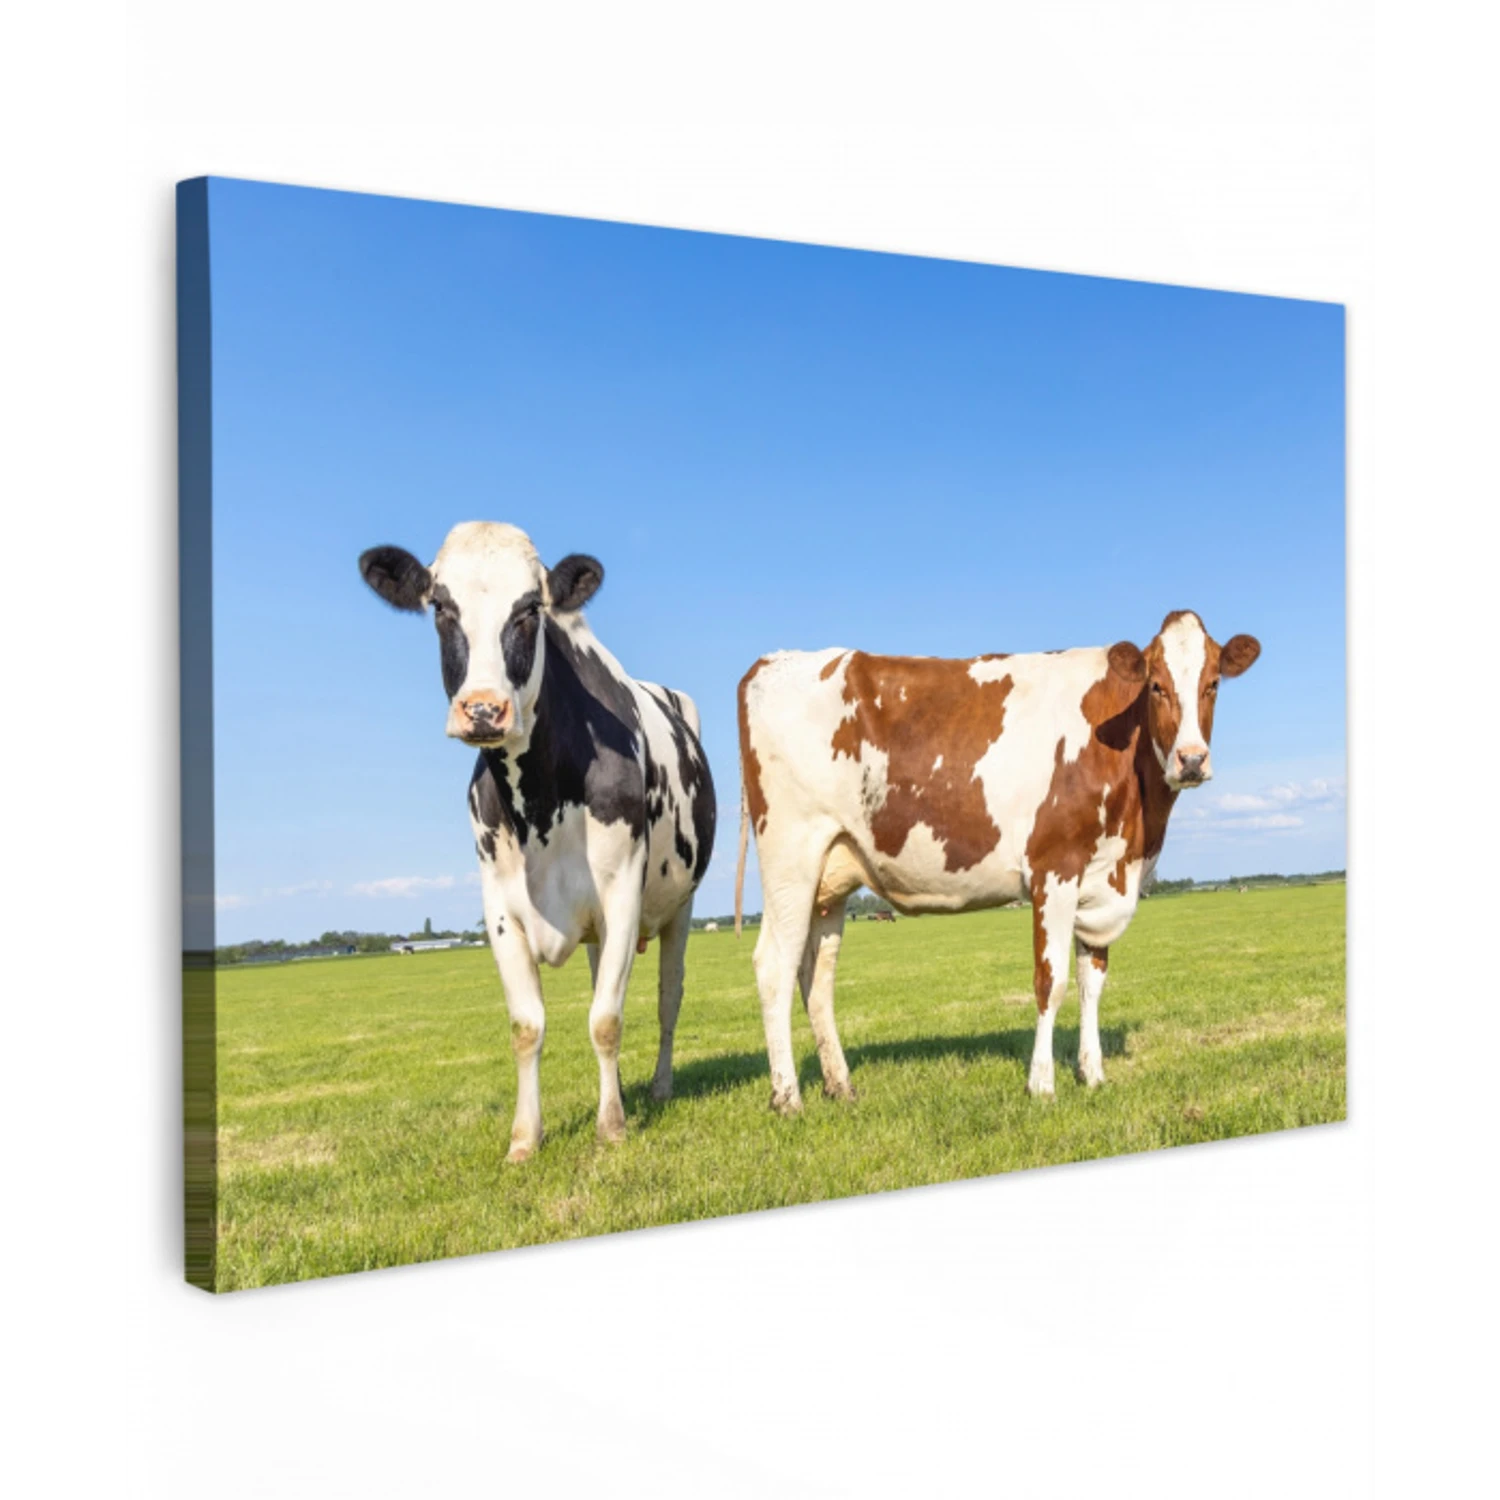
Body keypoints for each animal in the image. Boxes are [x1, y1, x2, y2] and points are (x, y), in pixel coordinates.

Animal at [360, 522, 715, 1160]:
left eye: (530, 609)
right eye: (440, 606)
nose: (482, 709)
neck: (540, 802)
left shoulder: (622, 893)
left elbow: (606, 1019)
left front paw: (611, 1127)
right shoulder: (501, 908)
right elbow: (528, 1026)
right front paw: (525, 1138)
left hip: (679, 906)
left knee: (666, 997)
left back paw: (656, 1087)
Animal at [734, 611, 1259, 1113]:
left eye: (1213, 683)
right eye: (1156, 685)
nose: (1191, 760)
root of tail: (772, 661)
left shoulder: (1103, 880)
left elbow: (1092, 982)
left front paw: (1092, 1074)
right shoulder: (1055, 868)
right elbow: (1052, 981)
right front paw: (1042, 1085)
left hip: (830, 875)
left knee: (816, 976)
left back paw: (840, 1086)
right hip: (791, 855)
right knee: (773, 966)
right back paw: (787, 1097)